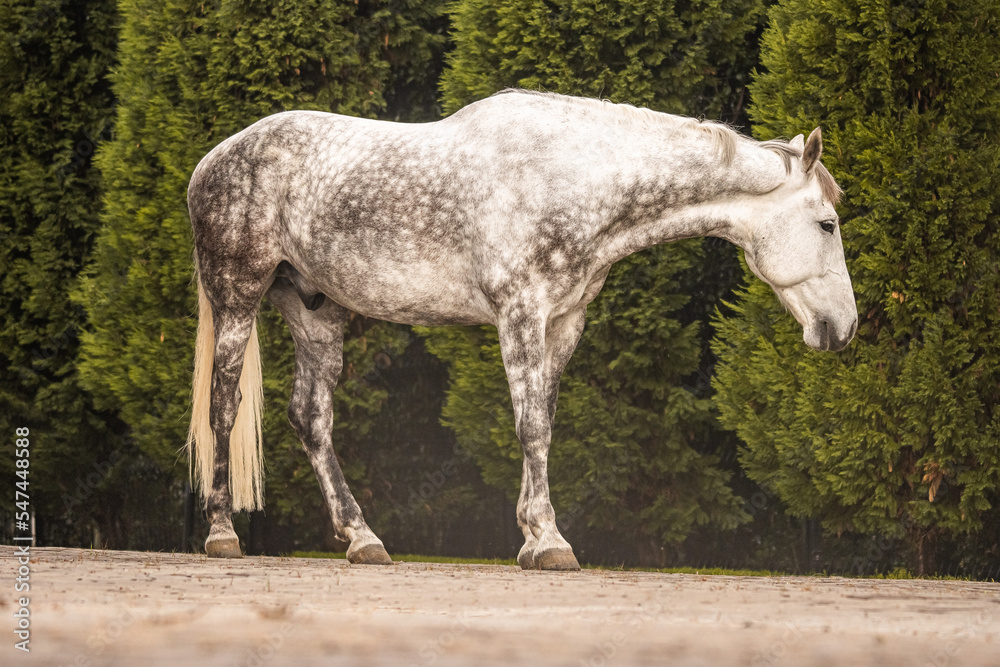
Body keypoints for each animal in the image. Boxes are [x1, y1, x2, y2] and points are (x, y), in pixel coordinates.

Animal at [186, 90, 856, 570]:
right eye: (826, 224)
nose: (844, 327)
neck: (576, 177)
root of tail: (213, 161)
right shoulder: (521, 313)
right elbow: (530, 425)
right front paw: (551, 541)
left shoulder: (563, 322)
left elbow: (545, 424)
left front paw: (533, 536)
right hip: (238, 297)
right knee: (224, 405)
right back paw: (222, 533)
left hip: (316, 312)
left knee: (312, 418)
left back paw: (363, 539)